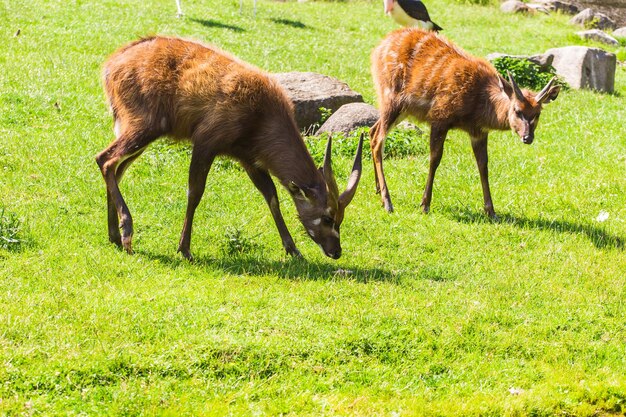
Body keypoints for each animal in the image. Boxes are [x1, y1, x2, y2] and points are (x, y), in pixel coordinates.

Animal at [95, 35, 364, 260]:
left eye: (340, 218)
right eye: (328, 217)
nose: (336, 252)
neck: (262, 115)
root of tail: (111, 64)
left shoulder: (249, 159)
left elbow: (272, 196)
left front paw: (294, 250)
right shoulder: (206, 143)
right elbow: (195, 192)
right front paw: (184, 249)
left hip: (142, 134)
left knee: (116, 168)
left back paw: (114, 236)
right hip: (144, 127)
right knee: (105, 159)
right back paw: (126, 232)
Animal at [368, 26, 560, 214]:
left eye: (537, 113)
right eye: (517, 110)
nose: (527, 137)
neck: (478, 106)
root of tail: (378, 47)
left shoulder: (478, 132)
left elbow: (483, 164)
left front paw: (491, 211)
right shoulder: (440, 118)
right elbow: (435, 158)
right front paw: (425, 205)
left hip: (401, 108)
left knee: (372, 130)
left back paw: (377, 190)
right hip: (391, 97)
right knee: (378, 139)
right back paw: (387, 202)